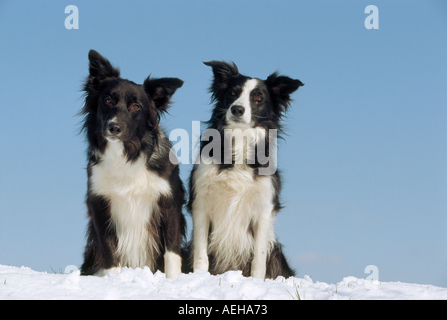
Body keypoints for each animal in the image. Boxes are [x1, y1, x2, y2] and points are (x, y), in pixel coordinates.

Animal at [79, 50, 186, 280]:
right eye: (107, 100)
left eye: (136, 106)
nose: (114, 127)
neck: (126, 155)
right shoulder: (100, 203)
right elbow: (109, 250)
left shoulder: (170, 201)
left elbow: (172, 251)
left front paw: (173, 281)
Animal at [189, 61, 304, 278]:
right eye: (233, 92)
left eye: (258, 98)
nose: (237, 109)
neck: (240, 140)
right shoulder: (200, 203)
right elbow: (200, 254)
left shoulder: (263, 208)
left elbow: (258, 257)